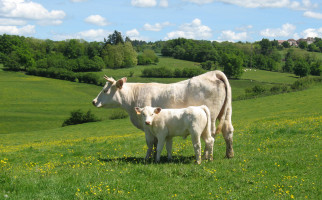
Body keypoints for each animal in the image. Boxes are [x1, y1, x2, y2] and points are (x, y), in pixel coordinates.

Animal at [92, 70, 234, 158]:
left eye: (105, 90)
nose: (93, 101)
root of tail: (213, 73)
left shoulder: (147, 126)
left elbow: (150, 143)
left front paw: (148, 158)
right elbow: (156, 143)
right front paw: (155, 156)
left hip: (211, 117)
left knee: (210, 136)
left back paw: (205, 156)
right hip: (227, 112)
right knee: (228, 130)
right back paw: (229, 154)